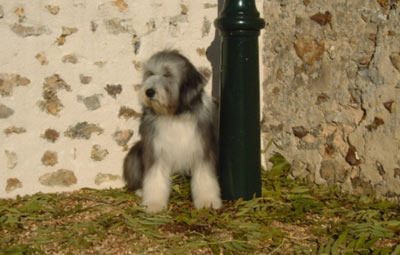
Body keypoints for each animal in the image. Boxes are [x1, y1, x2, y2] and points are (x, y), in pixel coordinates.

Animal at [122, 49, 222, 213]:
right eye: (150, 74)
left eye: (167, 74)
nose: (149, 92)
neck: (175, 115)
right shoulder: (156, 150)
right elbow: (155, 177)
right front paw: (154, 204)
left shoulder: (202, 149)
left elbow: (205, 177)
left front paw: (208, 201)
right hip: (134, 155)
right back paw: (141, 190)